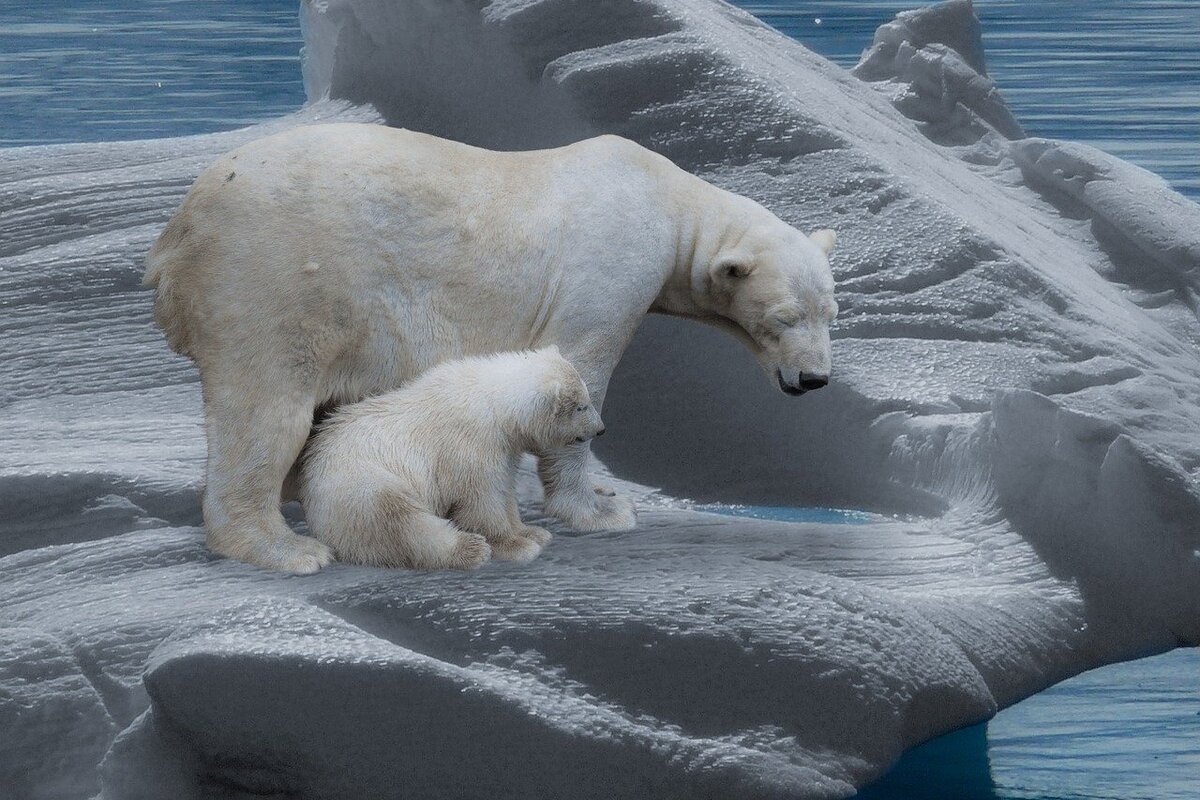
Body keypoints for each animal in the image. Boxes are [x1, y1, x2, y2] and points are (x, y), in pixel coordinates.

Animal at [300, 347, 600, 568]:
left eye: (587, 398)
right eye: (581, 406)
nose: (601, 429)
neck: (492, 404)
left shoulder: (504, 447)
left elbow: (504, 490)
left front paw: (532, 532)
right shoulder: (469, 446)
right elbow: (481, 500)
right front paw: (517, 546)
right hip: (361, 483)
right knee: (401, 521)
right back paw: (470, 549)